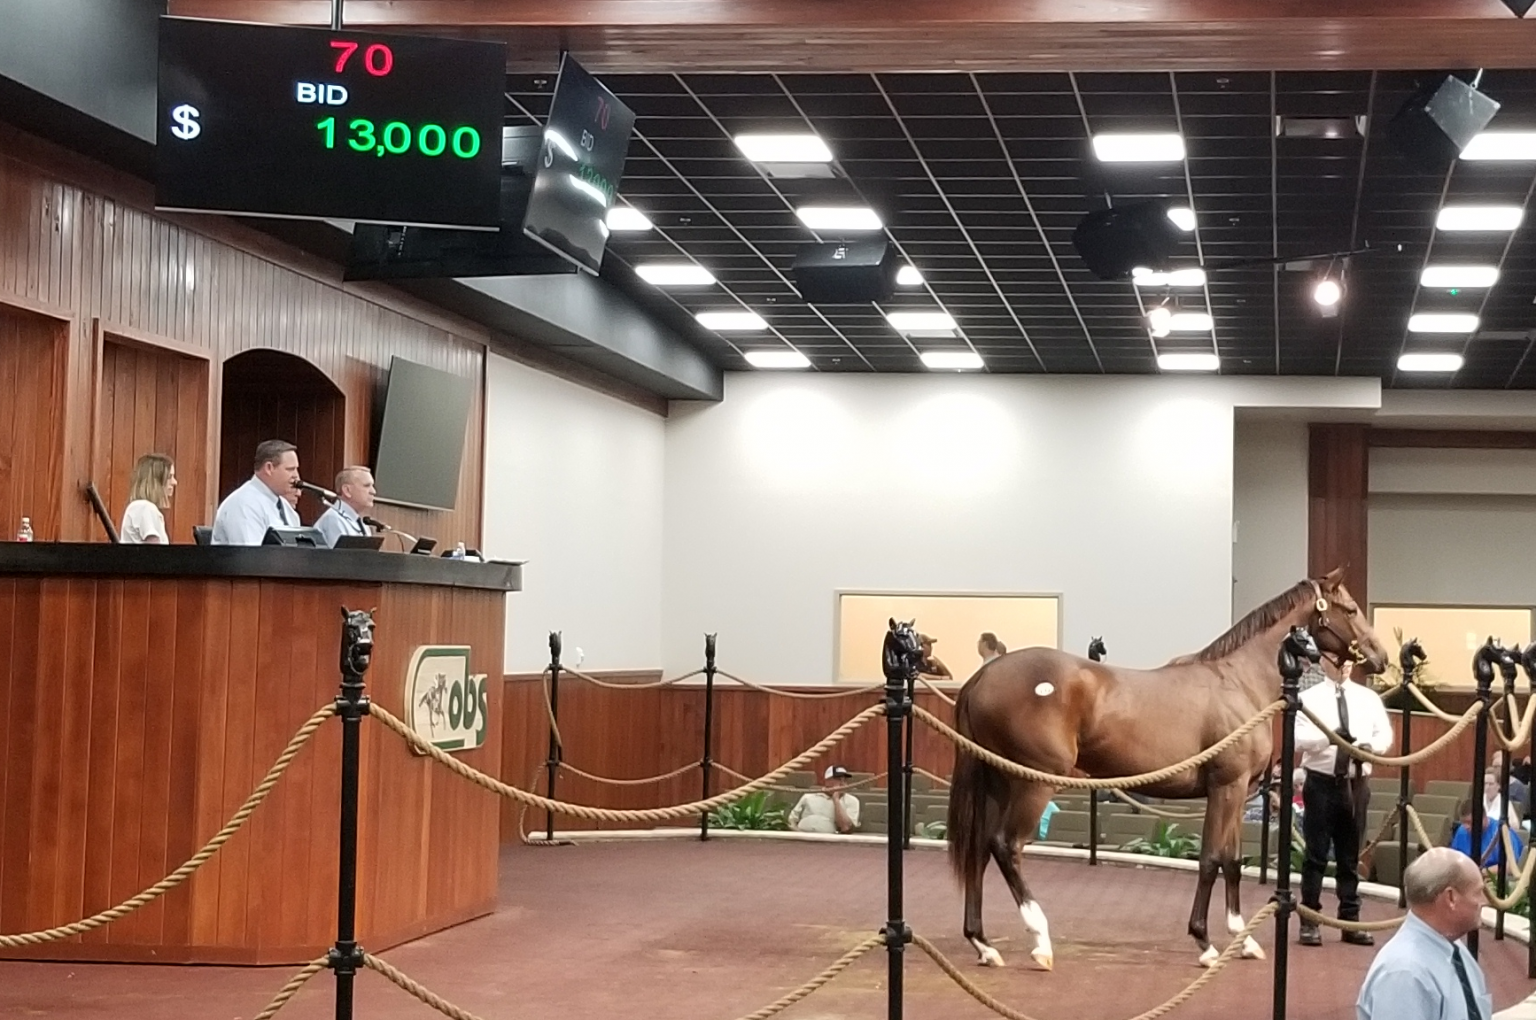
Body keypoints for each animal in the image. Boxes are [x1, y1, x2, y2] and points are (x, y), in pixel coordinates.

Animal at [946, 568, 1394, 970]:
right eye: (1350, 609)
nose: (1380, 656)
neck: (1239, 682)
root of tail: (984, 675)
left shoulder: (1237, 791)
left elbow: (1233, 860)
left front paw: (1242, 940)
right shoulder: (1226, 787)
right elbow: (1211, 859)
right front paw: (1205, 942)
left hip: (997, 783)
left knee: (980, 849)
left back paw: (983, 944)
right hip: (1032, 783)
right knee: (1006, 846)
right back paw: (1040, 940)